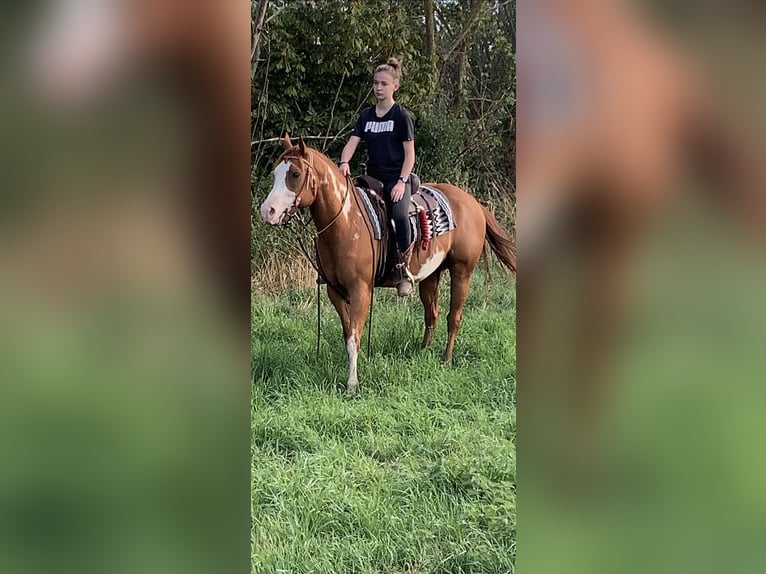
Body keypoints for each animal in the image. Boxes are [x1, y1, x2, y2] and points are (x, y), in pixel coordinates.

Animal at [260, 135, 516, 392]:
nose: (267, 211)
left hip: (462, 271)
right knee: (432, 313)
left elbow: (354, 336)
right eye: (274, 173)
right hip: (431, 275)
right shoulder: (335, 291)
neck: (346, 222)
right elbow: (348, 333)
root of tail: (473, 202)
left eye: (295, 174)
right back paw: (423, 351)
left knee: (454, 316)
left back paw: (446, 358)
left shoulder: (361, 290)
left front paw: (352, 383)